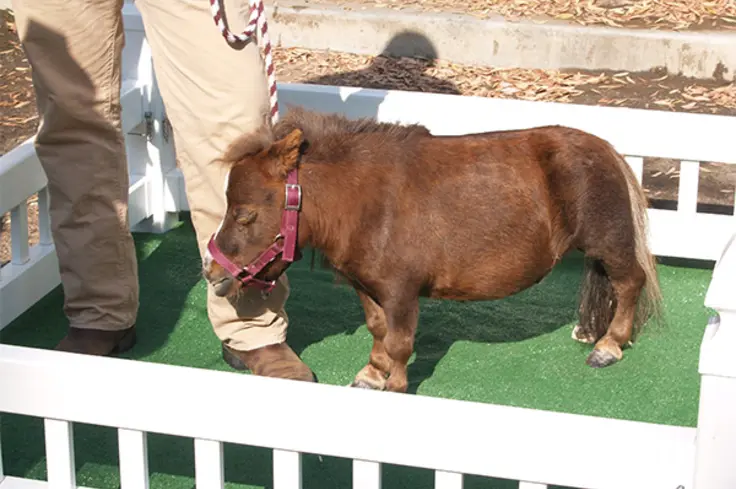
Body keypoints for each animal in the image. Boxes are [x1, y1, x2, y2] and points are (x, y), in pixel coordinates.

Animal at [202, 106, 663, 393]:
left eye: (245, 214)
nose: (213, 273)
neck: (367, 204)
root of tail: (608, 150)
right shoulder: (368, 288)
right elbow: (378, 330)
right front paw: (372, 374)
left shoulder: (402, 293)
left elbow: (400, 343)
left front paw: (395, 386)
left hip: (608, 242)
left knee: (629, 282)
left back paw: (609, 345)